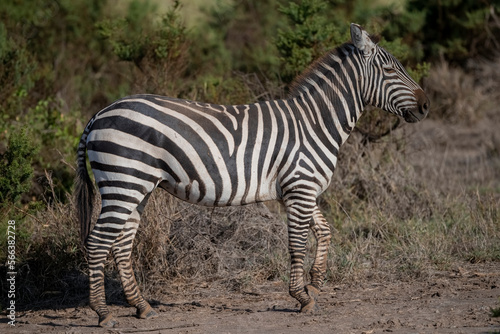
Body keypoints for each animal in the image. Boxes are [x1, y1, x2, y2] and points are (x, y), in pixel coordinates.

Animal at [75, 24, 430, 328]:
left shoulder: (302, 189)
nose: (426, 106)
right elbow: (297, 244)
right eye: (390, 70)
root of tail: (99, 113)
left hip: (137, 187)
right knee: (97, 243)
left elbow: (324, 231)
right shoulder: (300, 188)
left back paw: (141, 306)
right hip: (123, 182)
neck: (315, 122)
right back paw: (103, 313)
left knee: (121, 244)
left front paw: (315, 283)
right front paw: (301, 298)